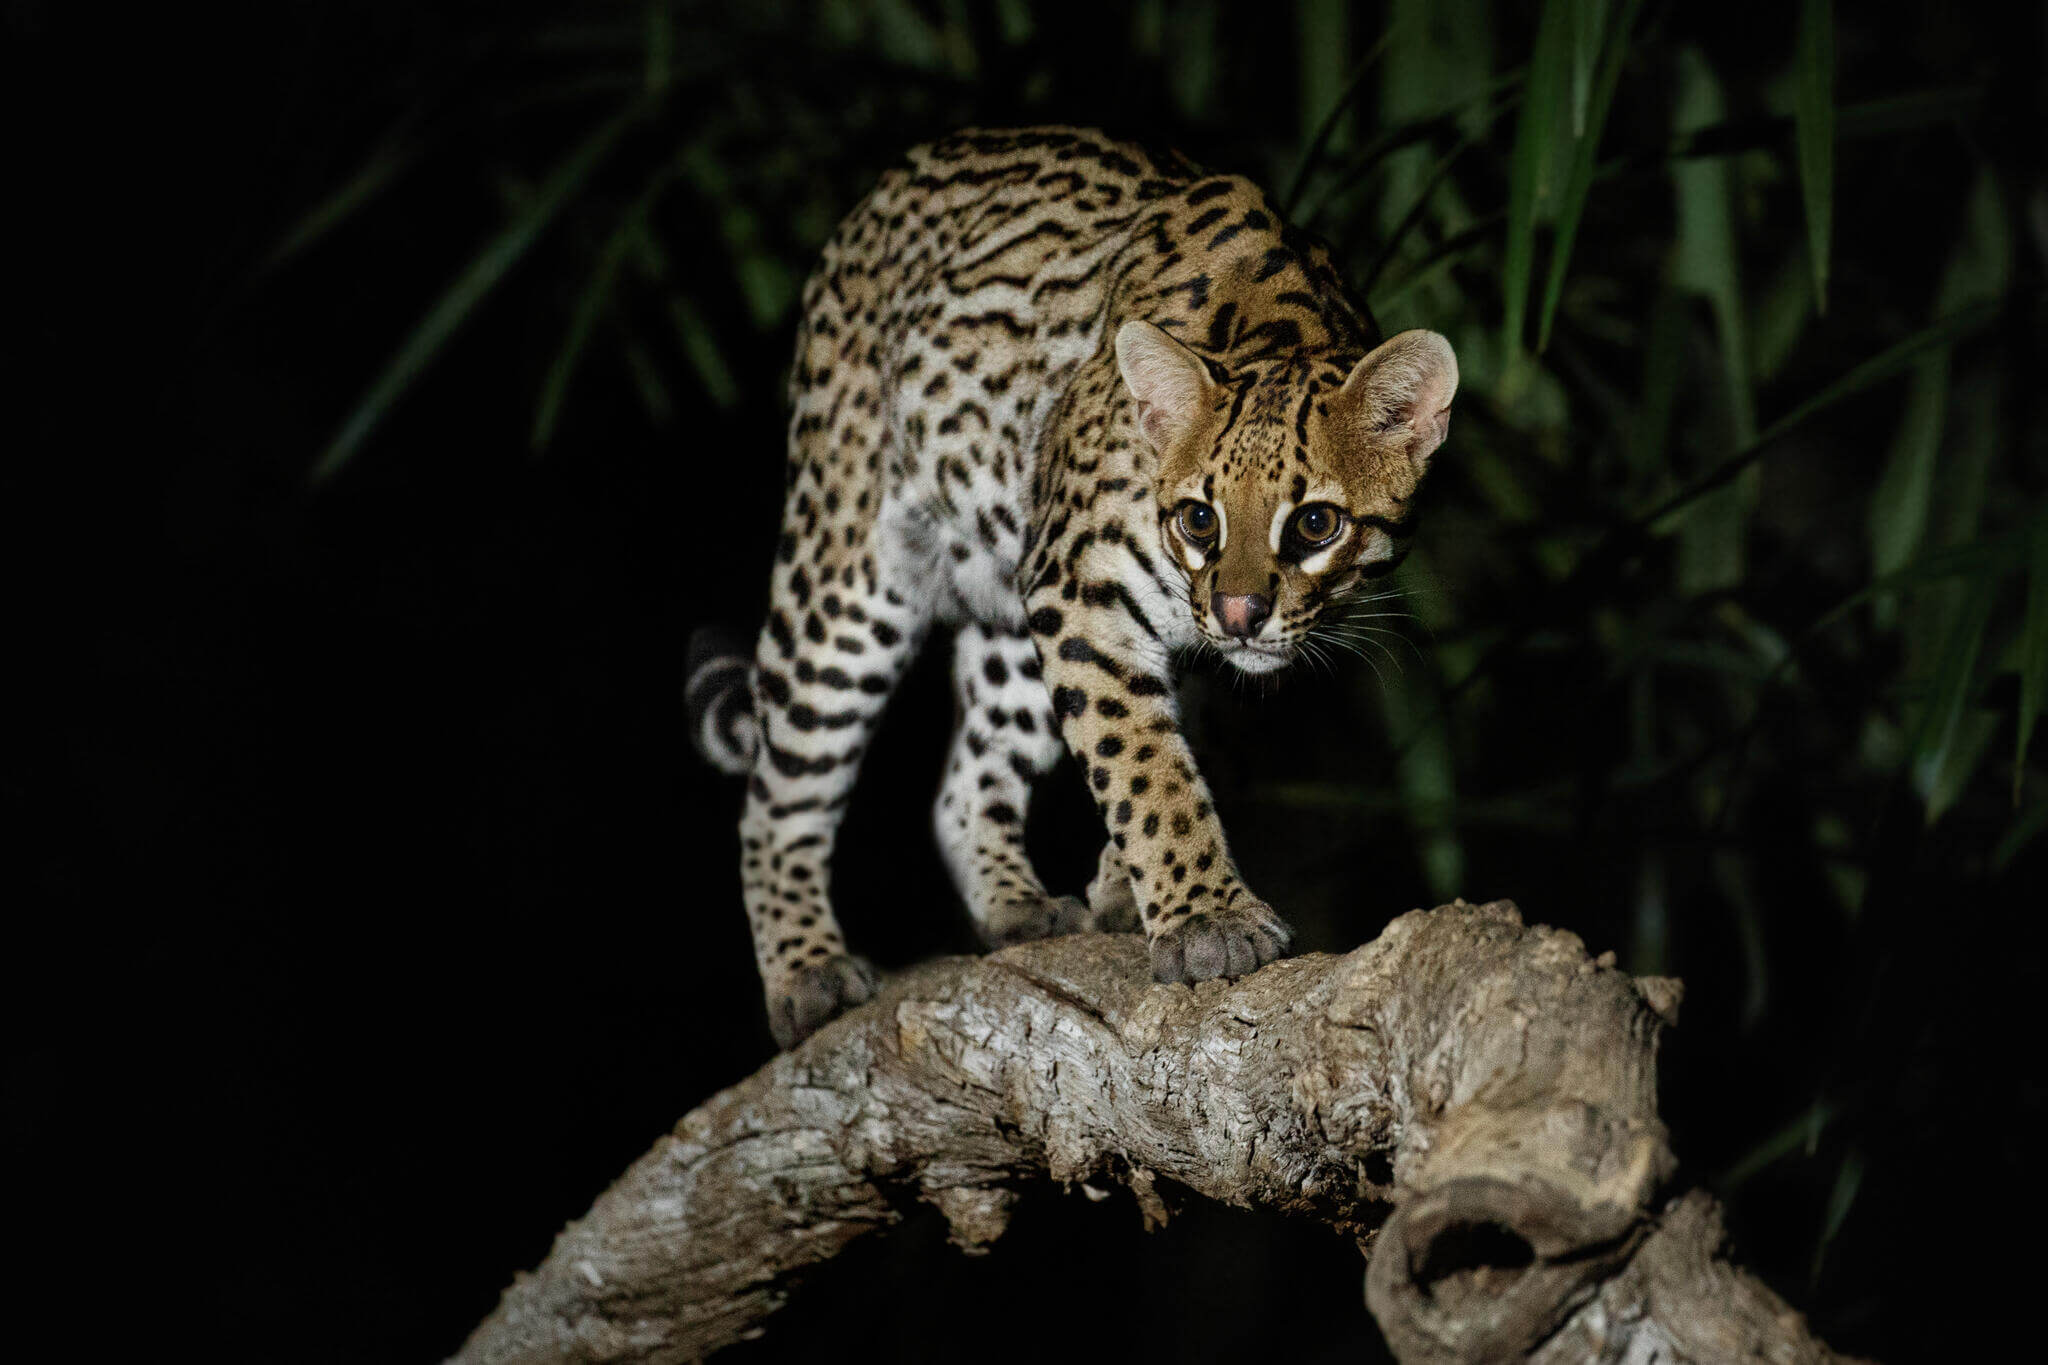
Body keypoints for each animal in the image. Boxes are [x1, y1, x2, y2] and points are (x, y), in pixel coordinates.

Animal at [688, 127, 1458, 1047]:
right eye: (1199, 519)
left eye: (1315, 525)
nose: (1239, 613)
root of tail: (882, 191)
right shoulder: (1080, 590)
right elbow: (1143, 765)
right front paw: (1206, 916)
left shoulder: (1143, 627)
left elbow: (1161, 748)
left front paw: (1132, 888)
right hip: (848, 574)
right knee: (777, 791)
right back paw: (807, 969)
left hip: (1011, 610)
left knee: (963, 781)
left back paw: (1014, 903)